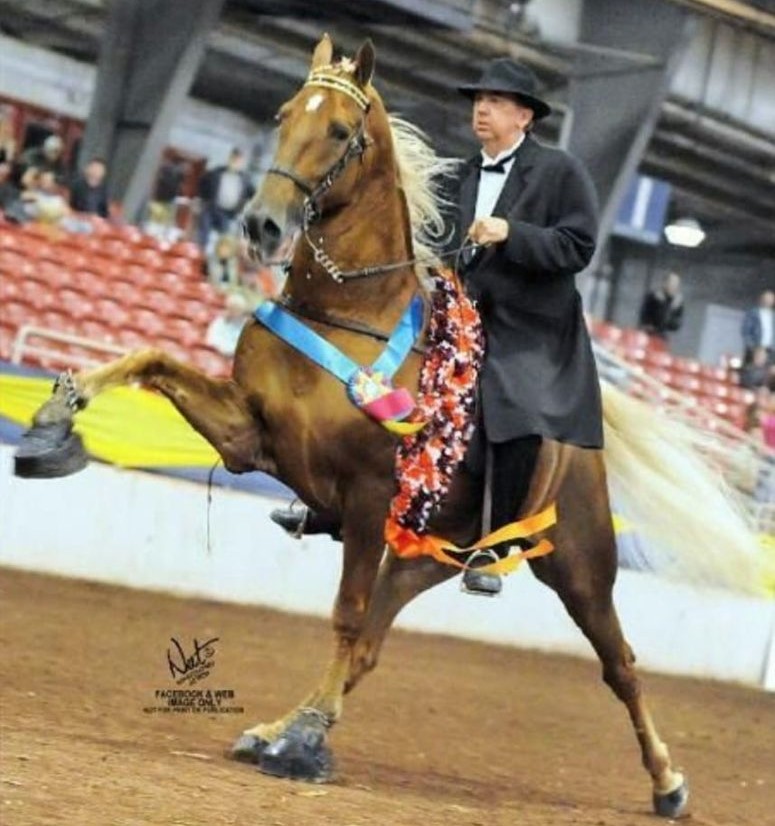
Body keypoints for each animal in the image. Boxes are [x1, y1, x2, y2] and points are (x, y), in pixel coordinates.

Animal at [14, 34, 762, 819]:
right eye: (283, 115)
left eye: (340, 131)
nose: (261, 225)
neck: (347, 312)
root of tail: (584, 450)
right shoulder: (255, 439)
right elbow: (151, 359)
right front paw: (52, 425)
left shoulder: (368, 493)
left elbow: (344, 615)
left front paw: (299, 753)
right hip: (425, 555)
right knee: (375, 639)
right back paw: (290, 727)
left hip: (581, 566)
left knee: (620, 665)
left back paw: (668, 782)